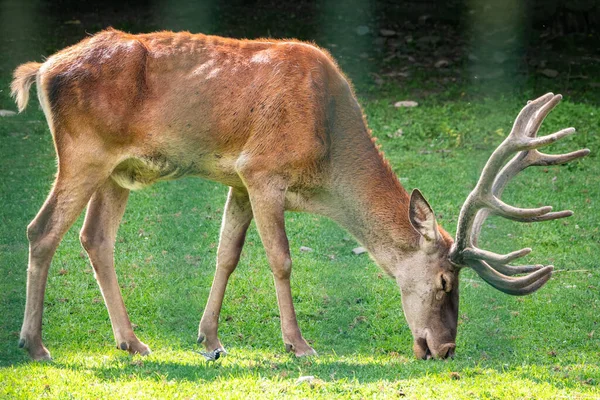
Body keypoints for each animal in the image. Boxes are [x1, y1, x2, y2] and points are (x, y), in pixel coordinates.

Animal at [11, 27, 588, 360]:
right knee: (41, 230)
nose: (444, 349)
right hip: (84, 151)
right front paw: (298, 344)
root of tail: (41, 70)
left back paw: (131, 342)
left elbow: (227, 254)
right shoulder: (263, 170)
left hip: (118, 169)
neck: (325, 166)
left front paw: (210, 340)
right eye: (446, 281)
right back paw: (35, 344)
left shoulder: (239, 179)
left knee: (94, 238)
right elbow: (281, 260)